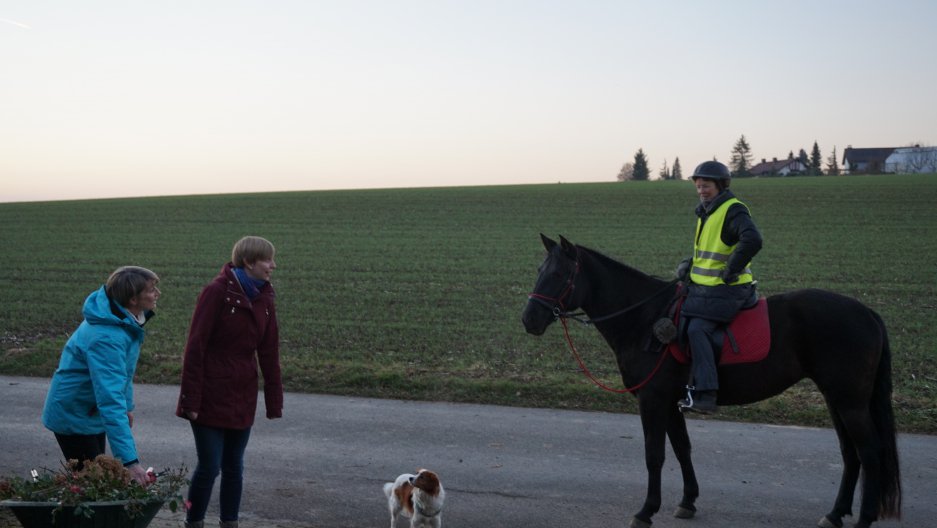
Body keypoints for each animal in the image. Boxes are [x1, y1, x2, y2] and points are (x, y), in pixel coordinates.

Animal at [521, 235, 900, 528]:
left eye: (558, 274)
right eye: (539, 271)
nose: (529, 319)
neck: (644, 318)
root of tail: (867, 312)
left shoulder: (652, 399)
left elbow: (654, 454)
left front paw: (646, 510)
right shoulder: (670, 401)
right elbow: (681, 448)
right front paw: (688, 501)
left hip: (849, 402)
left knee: (869, 452)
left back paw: (864, 518)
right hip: (837, 399)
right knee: (851, 454)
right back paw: (835, 514)